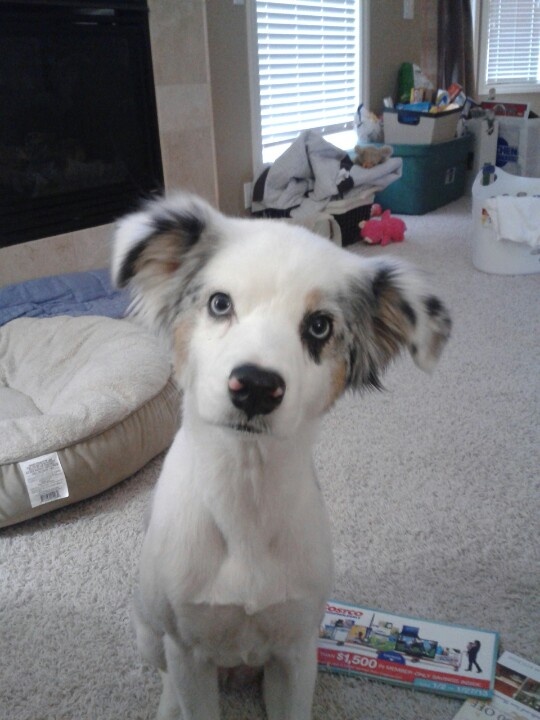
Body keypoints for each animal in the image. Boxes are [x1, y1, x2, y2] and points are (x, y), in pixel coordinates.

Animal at [110, 193, 452, 720]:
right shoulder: (188, 648)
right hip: (147, 627)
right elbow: (191, 691)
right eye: (220, 303)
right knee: (164, 673)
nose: (255, 386)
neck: (245, 494)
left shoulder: (295, 651)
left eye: (319, 326)